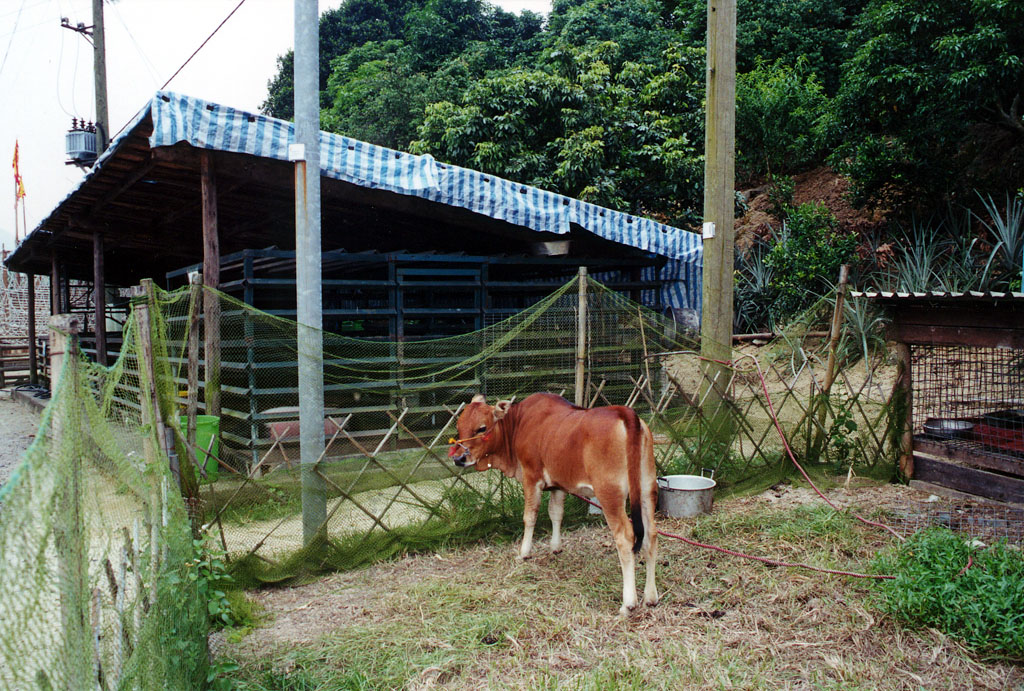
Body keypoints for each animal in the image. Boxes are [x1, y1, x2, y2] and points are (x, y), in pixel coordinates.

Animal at [450, 395, 659, 618]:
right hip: (647, 489)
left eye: (481, 428)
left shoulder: (531, 477)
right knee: (650, 535)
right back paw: (651, 597)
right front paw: (555, 547)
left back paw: (628, 603)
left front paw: (524, 552)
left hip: (610, 495)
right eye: (459, 427)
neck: (518, 423)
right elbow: (556, 513)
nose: (458, 458)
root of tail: (625, 413)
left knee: (625, 538)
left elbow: (530, 516)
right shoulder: (558, 484)